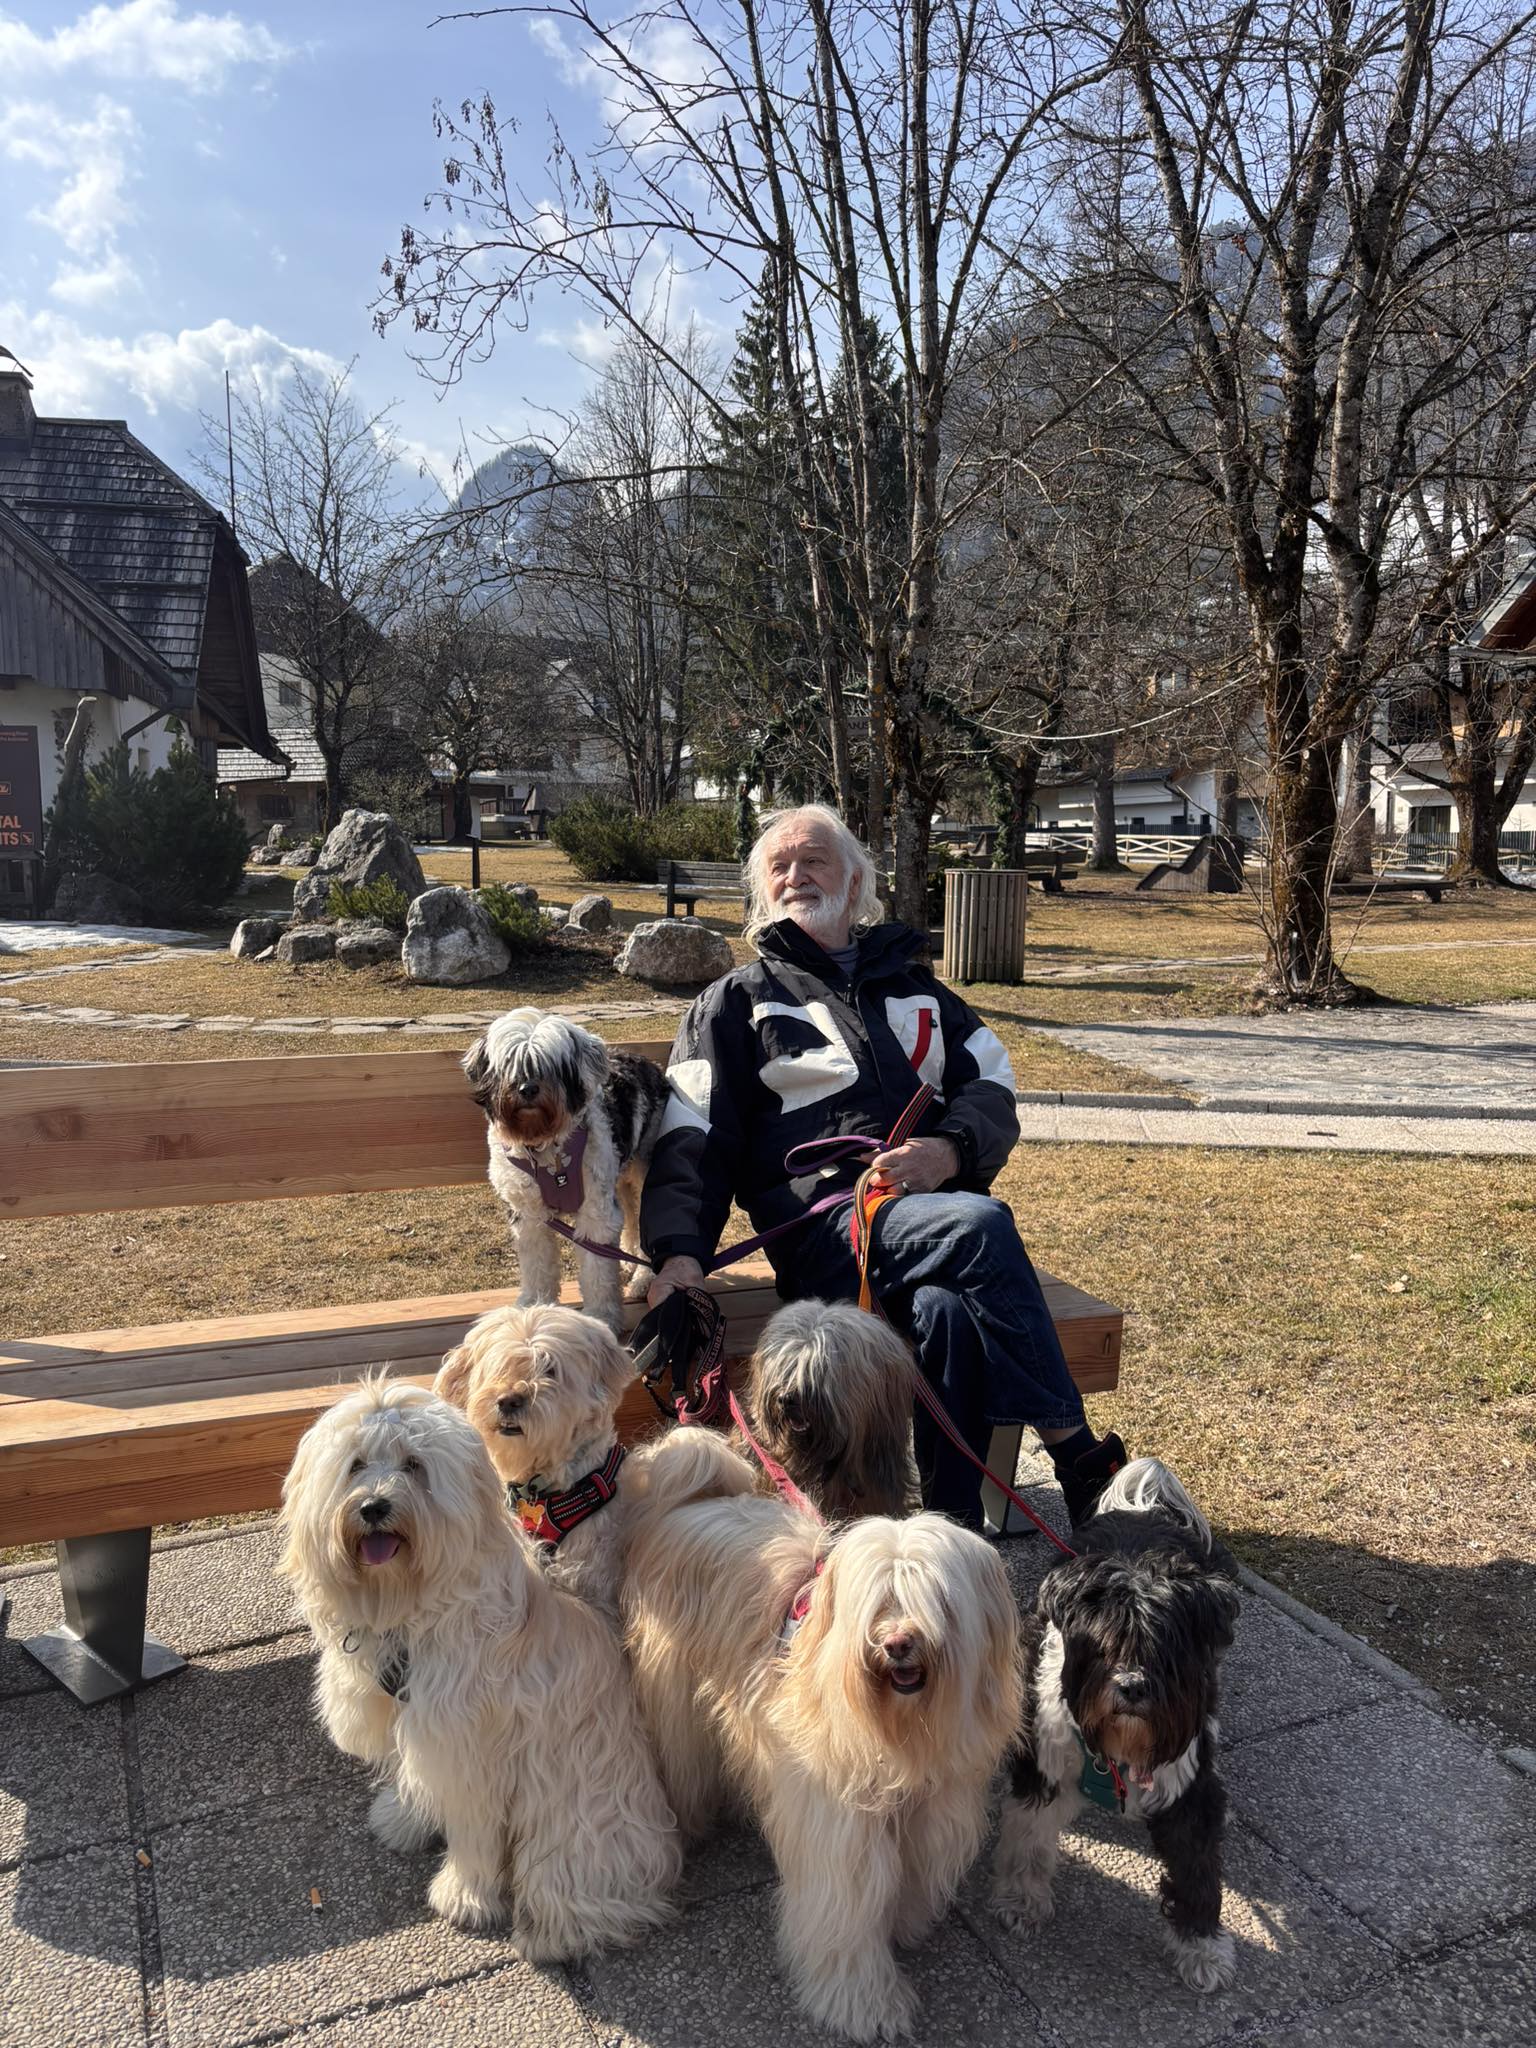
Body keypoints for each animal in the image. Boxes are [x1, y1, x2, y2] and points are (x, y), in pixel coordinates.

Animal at [277, 1378, 680, 1958]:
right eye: (356, 1465)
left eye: (414, 1465)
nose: (374, 1507)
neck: (407, 1611)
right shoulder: (409, 1725)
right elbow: (411, 1778)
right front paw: (402, 1818)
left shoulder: (469, 1754)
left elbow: (472, 1833)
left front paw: (464, 1896)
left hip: (582, 1816)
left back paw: (557, 1930)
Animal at [465, 1007, 668, 1330]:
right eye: (510, 1062)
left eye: (550, 1063)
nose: (527, 1089)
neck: (547, 1151)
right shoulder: (529, 1214)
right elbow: (537, 1266)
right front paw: (532, 1308)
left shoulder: (595, 1213)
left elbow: (597, 1273)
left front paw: (600, 1318)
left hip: (645, 1167)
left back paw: (644, 1278)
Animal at [623, 1427, 1023, 2041]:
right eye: (879, 1601)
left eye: (938, 1600)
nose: (899, 1643)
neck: (899, 1733)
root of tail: (687, 1502)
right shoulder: (840, 1830)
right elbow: (846, 1915)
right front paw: (867, 2004)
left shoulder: (929, 1813)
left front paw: (906, 1925)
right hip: (674, 1696)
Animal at [990, 1457, 1240, 1994]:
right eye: (1103, 1646)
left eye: (1168, 1654)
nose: (1131, 1686)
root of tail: (1143, 1505)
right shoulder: (1043, 1763)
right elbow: (1030, 1839)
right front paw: (1023, 1901)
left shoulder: (1186, 1780)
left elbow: (1196, 1868)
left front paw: (1201, 1947)